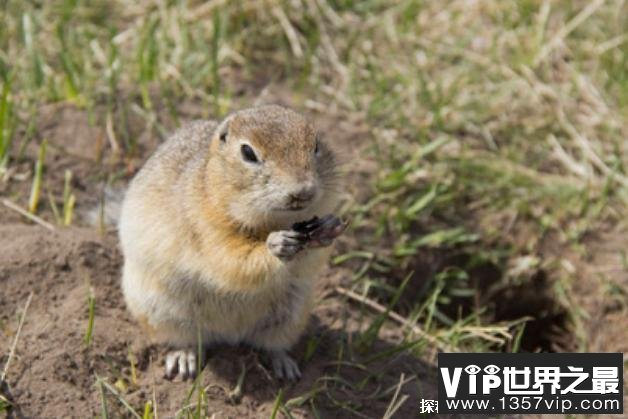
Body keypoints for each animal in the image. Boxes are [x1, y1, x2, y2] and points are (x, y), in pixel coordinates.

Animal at [118, 104, 344, 380]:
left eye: (317, 144)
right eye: (247, 152)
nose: (303, 191)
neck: (273, 222)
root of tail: (229, 335)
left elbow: (312, 260)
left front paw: (330, 228)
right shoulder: (206, 228)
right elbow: (231, 260)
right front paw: (276, 246)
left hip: (291, 315)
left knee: (270, 344)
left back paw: (284, 365)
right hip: (161, 312)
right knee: (184, 340)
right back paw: (183, 359)